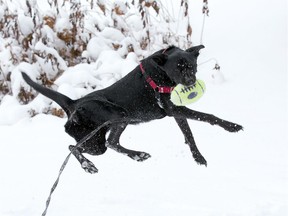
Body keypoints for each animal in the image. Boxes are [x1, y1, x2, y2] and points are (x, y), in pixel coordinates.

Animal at [22, 45, 243, 174]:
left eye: (191, 65)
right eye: (177, 68)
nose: (190, 82)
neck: (159, 73)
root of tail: (74, 103)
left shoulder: (176, 113)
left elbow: (189, 134)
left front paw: (197, 157)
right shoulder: (174, 109)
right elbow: (208, 116)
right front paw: (231, 126)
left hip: (112, 128)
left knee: (110, 142)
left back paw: (137, 155)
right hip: (107, 128)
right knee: (73, 147)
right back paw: (89, 166)